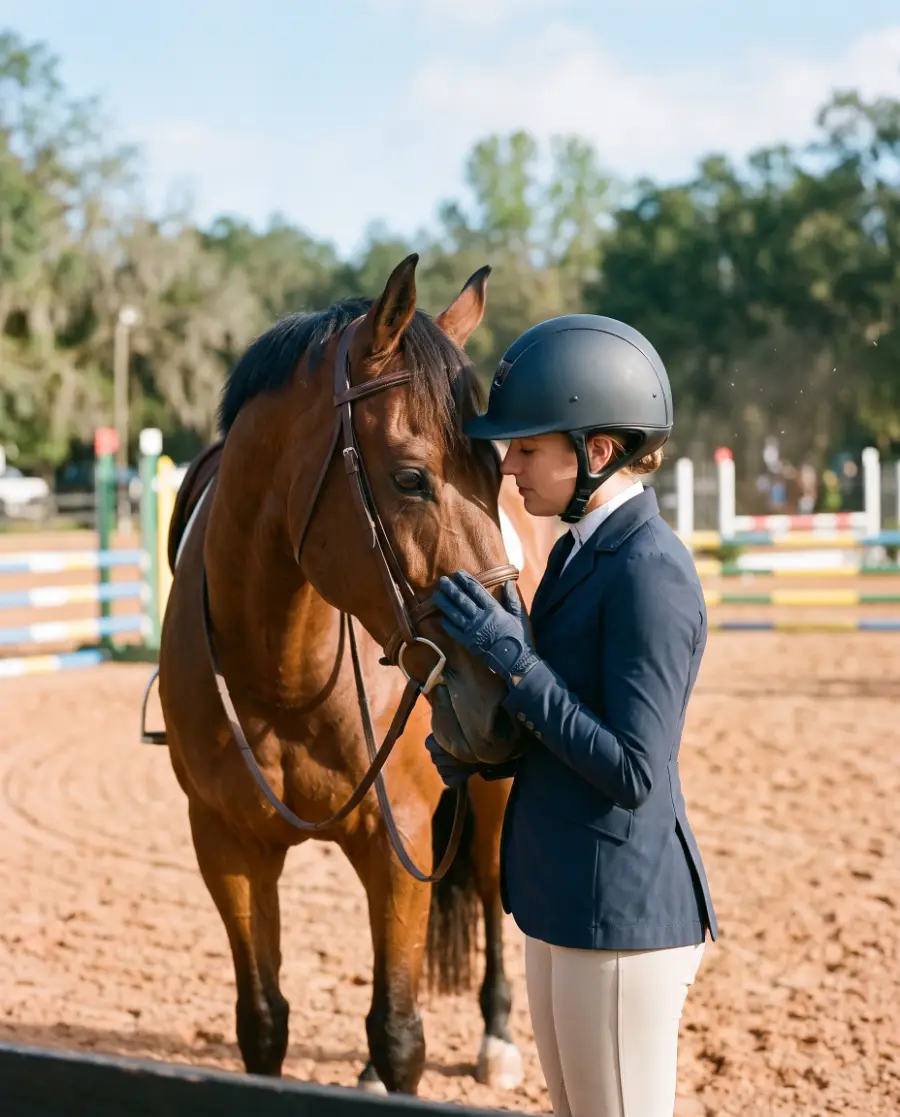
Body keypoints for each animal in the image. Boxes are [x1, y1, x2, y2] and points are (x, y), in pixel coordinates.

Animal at [156, 254, 556, 1096]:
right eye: (409, 478)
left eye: (494, 470)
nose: (505, 693)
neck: (283, 673)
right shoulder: (227, 844)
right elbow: (263, 1022)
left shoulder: (394, 833)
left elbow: (401, 1032)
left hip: (493, 794)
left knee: (491, 887)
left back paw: (498, 1034)